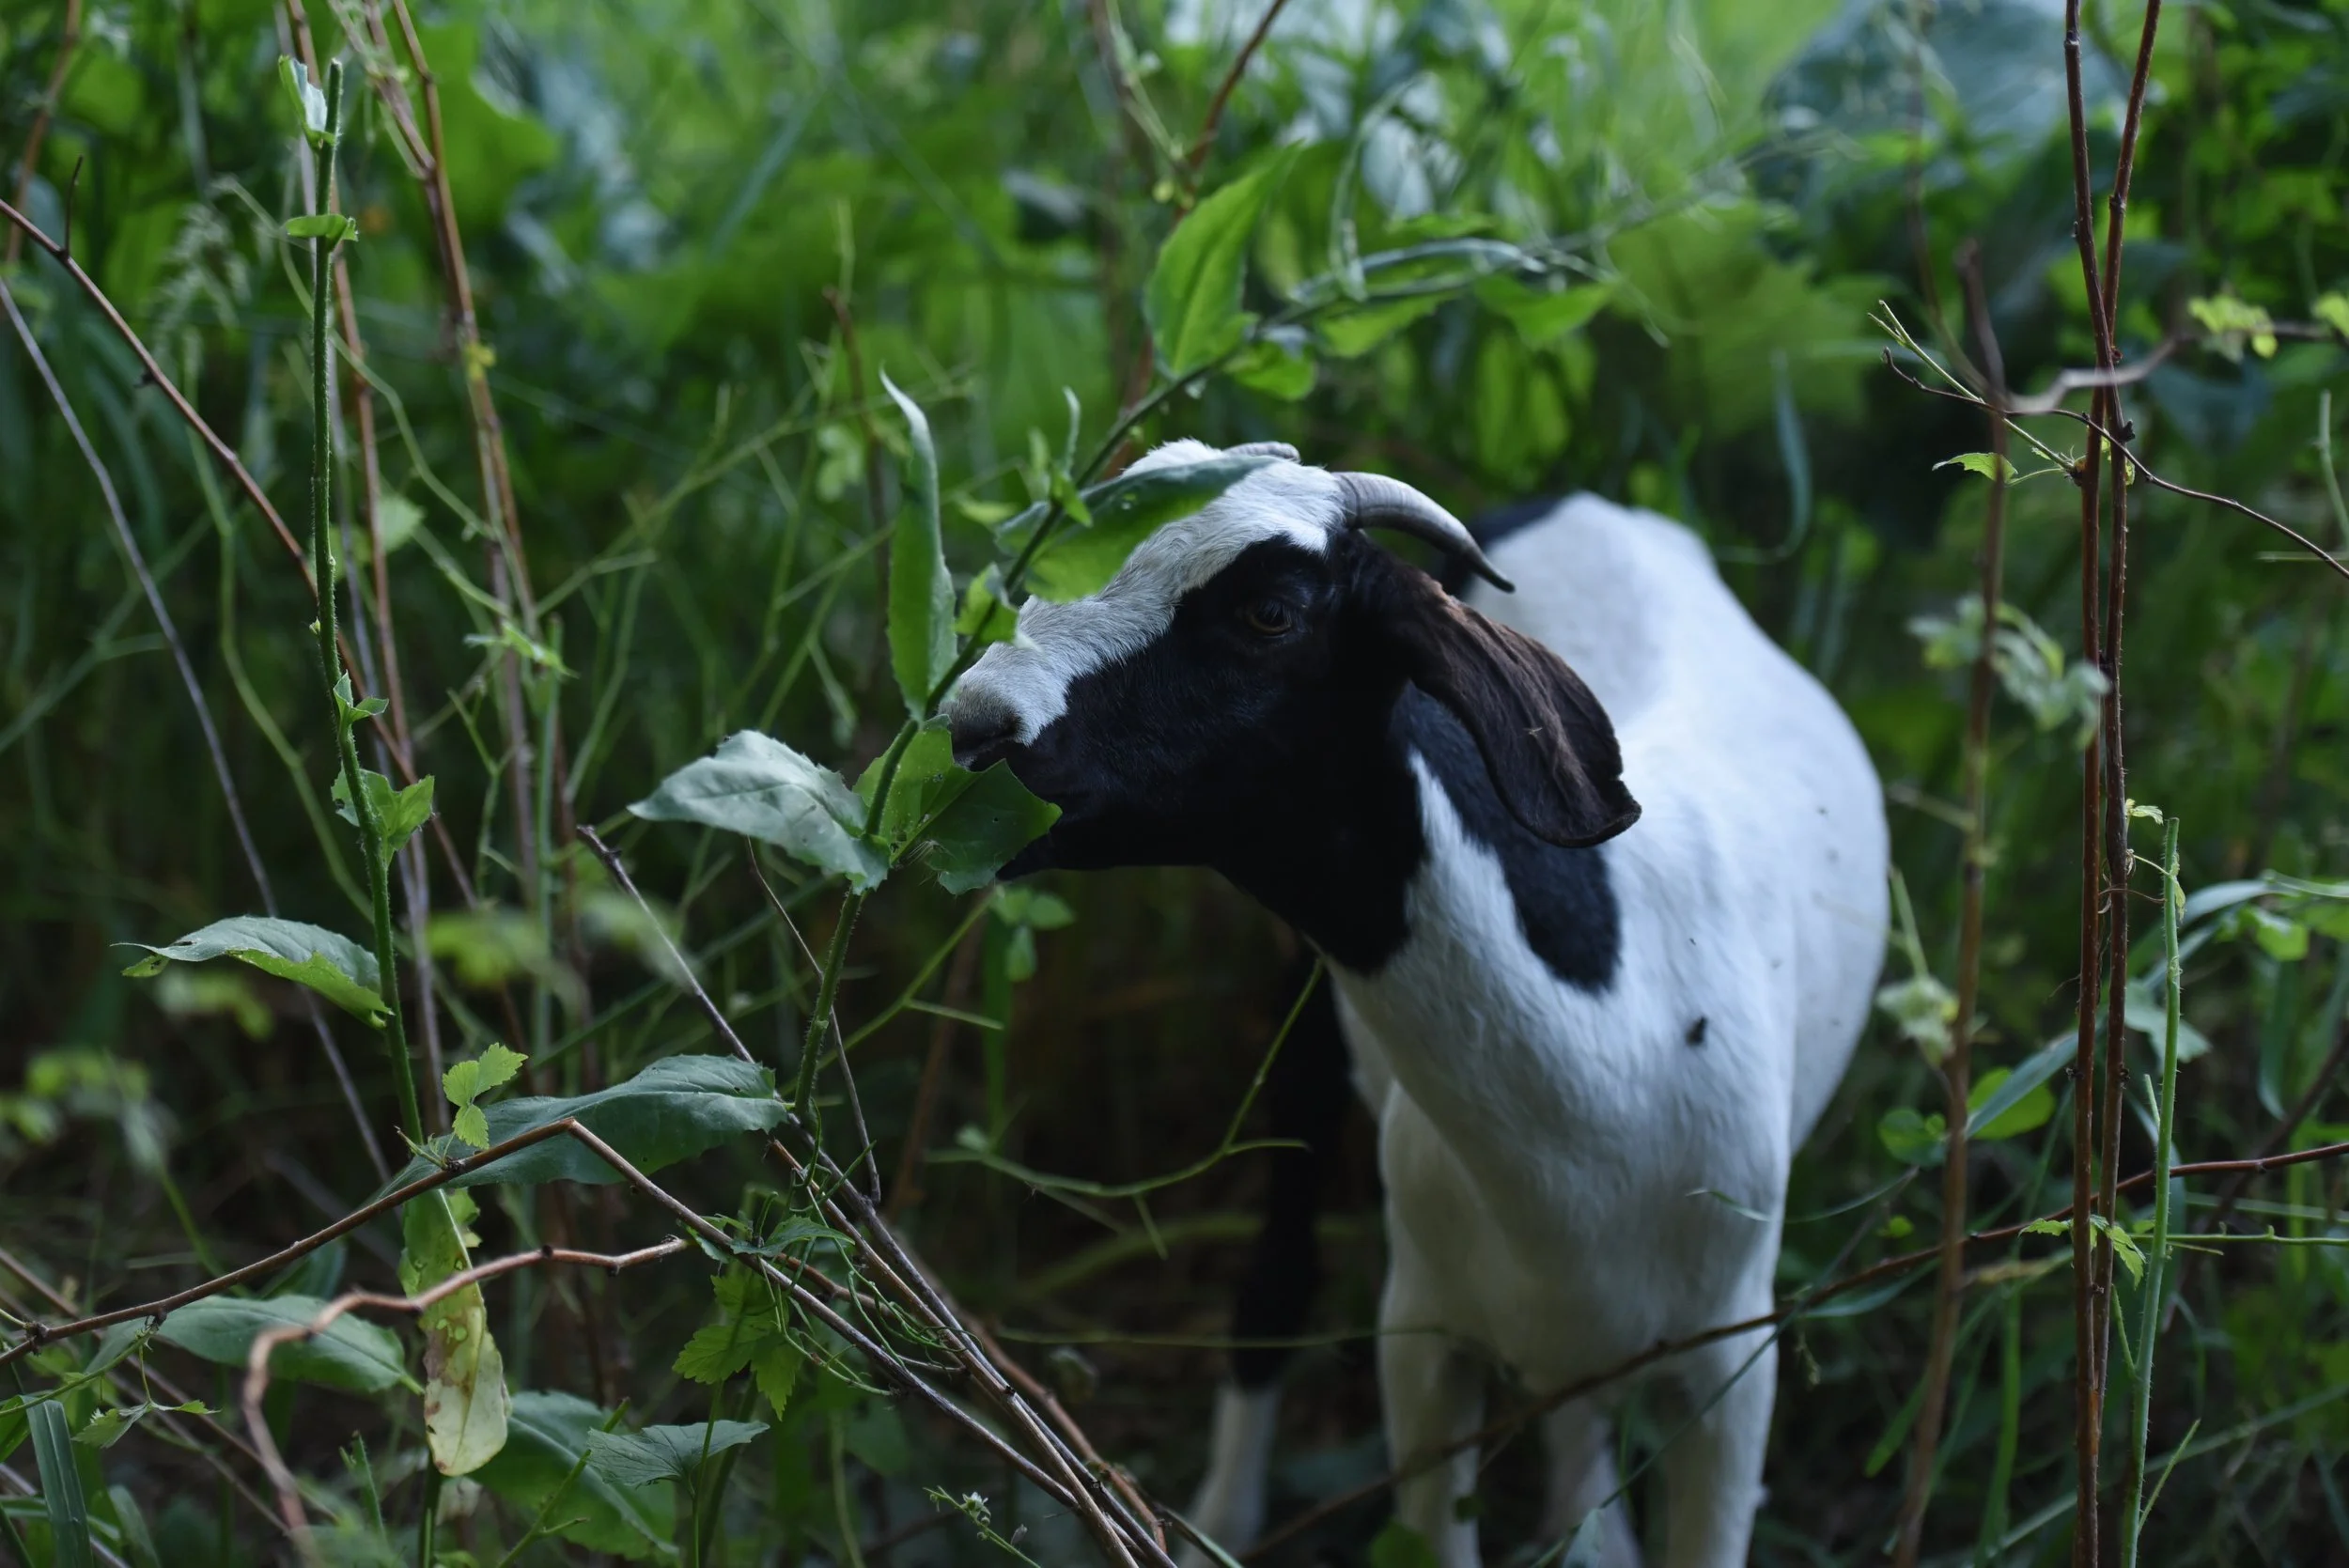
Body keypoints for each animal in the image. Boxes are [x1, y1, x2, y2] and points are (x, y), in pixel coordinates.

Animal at [946, 441, 1889, 1567]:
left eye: (1270, 610)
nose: (973, 725)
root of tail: (1577, 499)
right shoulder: (1421, 1337)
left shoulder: (1731, 1365)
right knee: (1277, 1279)